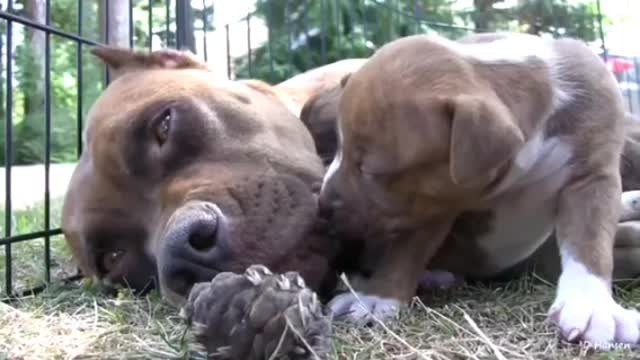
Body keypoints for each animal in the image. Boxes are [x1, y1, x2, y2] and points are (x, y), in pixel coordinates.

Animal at [320, 33, 640, 346]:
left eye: (371, 170)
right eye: (338, 147)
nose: (322, 206)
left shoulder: (592, 177)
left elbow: (590, 242)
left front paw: (591, 305)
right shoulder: (431, 203)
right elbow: (404, 251)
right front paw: (377, 297)